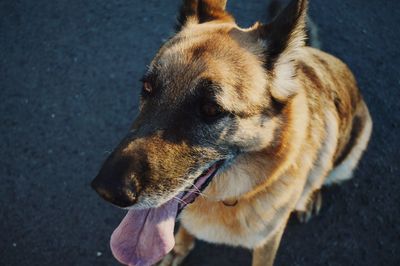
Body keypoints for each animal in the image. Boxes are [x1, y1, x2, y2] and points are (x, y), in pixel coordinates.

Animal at [90, 1, 372, 264]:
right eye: (148, 87)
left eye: (211, 109)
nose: (106, 190)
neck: (232, 196)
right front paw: (179, 247)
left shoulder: (268, 242)